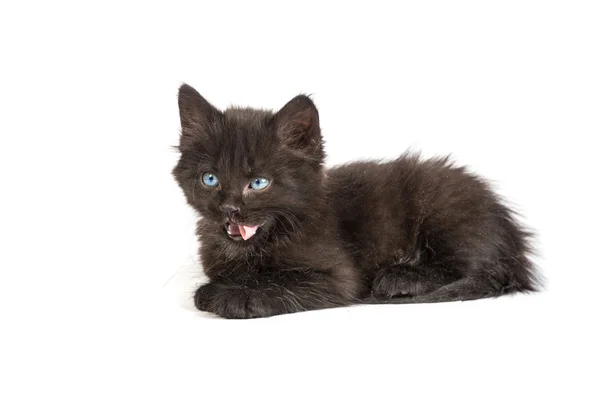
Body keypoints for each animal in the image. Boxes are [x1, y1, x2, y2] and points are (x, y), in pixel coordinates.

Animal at [172, 84, 540, 318]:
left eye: (259, 183)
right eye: (210, 179)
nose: (229, 208)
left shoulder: (336, 277)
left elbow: (280, 281)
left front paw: (233, 295)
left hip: (444, 211)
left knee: (473, 270)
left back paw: (401, 277)